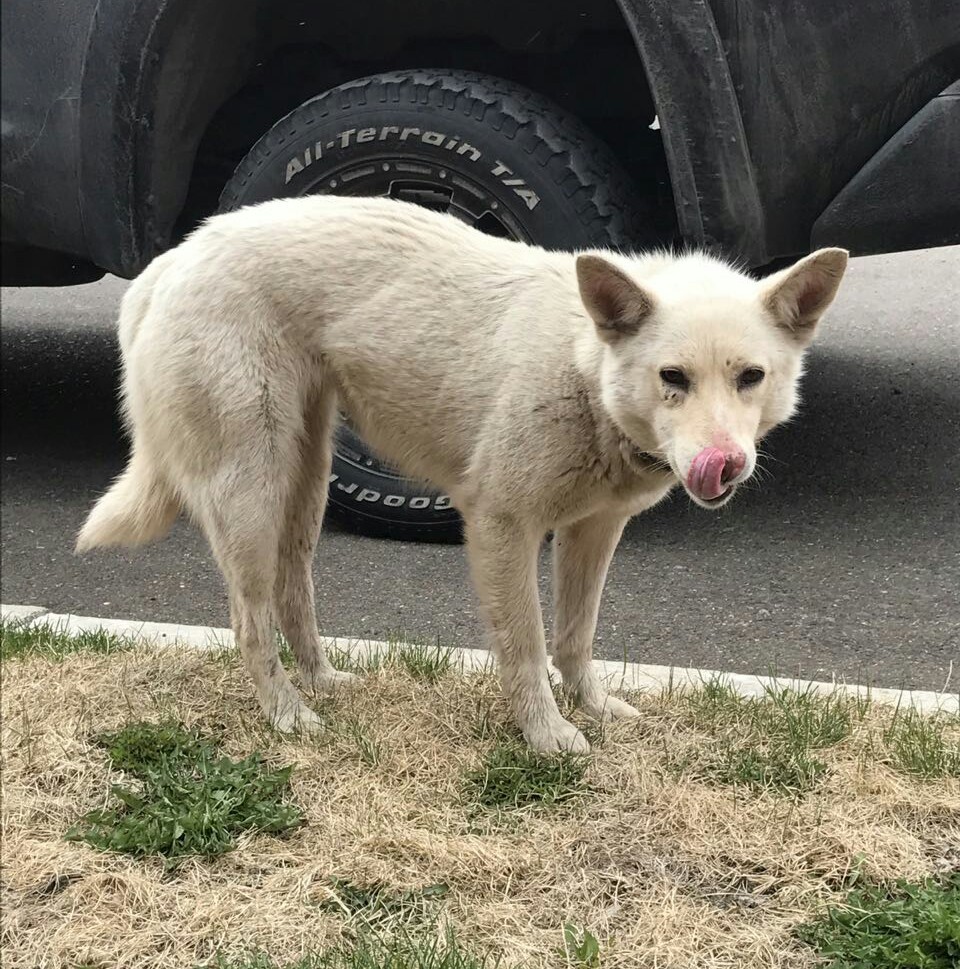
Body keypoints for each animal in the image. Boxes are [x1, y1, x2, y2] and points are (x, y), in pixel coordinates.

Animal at [77, 197, 848, 752]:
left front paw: (594, 706)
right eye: (673, 378)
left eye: (750, 377)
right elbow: (527, 645)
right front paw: (547, 734)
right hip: (250, 490)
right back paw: (288, 716)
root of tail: (176, 257)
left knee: (293, 593)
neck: (584, 367)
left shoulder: (594, 532)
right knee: (249, 620)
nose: (723, 464)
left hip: (305, 482)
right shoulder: (503, 528)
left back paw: (323, 682)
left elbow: (577, 635)